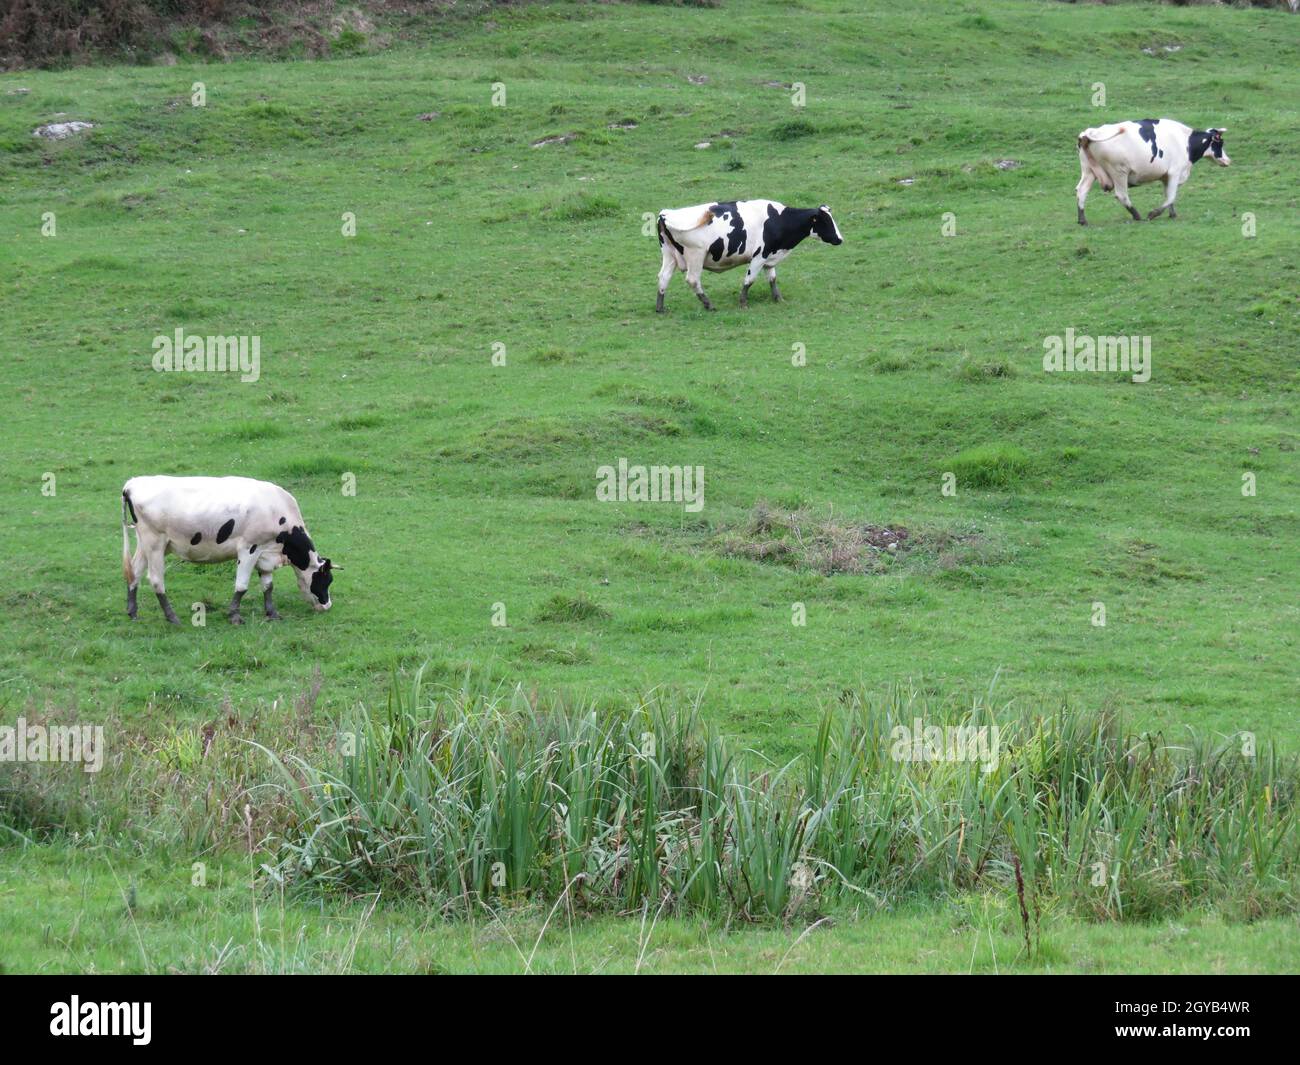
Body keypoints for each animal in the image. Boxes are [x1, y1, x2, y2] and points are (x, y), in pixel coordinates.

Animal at [122, 475, 335, 624]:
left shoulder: (265, 553)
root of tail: (132, 484)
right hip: (155, 542)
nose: (327, 606)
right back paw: (172, 617)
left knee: (134, 572)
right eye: (325, 580)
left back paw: (133, 613)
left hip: (145, 543)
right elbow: (242, 586)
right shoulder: (249, 548)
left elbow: (268, 586)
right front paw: (234, 616)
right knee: (156, 580)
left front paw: (272, 613)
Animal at [1076, 117, 1227, 223]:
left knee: (1081, 190)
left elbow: (1168, 196)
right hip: (1119, 171)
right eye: (1220, 142)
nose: (1228, 160)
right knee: (1121, 194)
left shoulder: (1166, 177)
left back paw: (1082, 220)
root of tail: (1091, 132)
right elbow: (1171, 196)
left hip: (1089, 171)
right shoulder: (1175, 172)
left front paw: (1172, 214)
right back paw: (1137, 215)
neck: (1185, 142)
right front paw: (1153, 214)